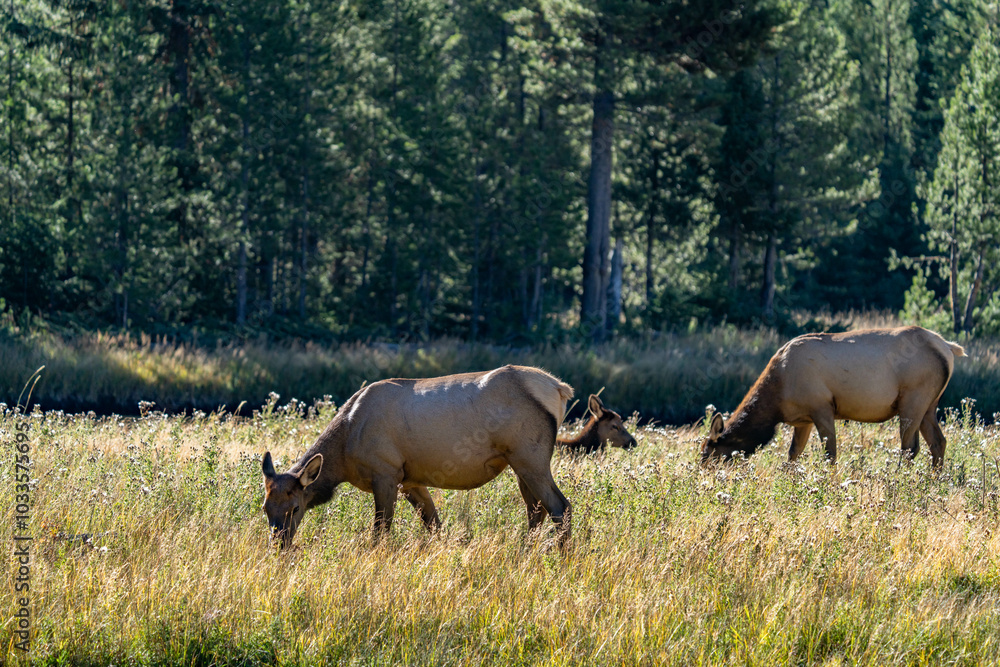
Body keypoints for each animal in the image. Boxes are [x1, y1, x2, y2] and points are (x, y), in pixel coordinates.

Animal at [701, 326, 966, 468]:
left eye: (708, 455)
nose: (702, 478)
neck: (776, 398)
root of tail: (948, 347)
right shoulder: (803, 419)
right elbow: (793, 454)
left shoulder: (822, 407)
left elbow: (830, 455)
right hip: (930, 405)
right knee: (938, 443)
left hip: (913, 399)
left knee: (910, 447)